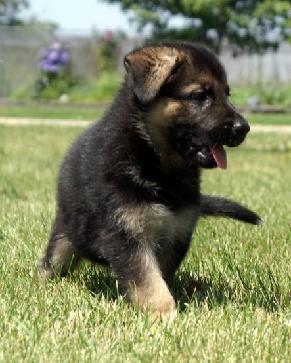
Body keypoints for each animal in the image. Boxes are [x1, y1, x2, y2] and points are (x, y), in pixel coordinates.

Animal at [39, 41, 262, 318]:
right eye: (200, 95)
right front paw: (165, 314)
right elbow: (148, 280)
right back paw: (44, 283)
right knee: (53, 260)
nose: (244, 128)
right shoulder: (127, 234)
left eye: (227, 94)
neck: (157, 166)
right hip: (66, 231)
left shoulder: (176, 234)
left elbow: (159, 276)